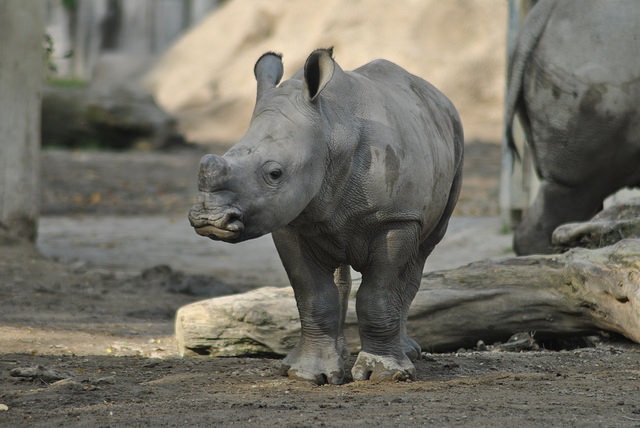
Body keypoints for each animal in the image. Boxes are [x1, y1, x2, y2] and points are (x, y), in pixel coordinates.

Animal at [188, 48, 463, 384]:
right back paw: (335, 355)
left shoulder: (396, 218)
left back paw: (408, 354)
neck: (331, 130)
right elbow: (313, 295)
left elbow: (379, 294)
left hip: (454, 139)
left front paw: (383, 374)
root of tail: (438, 97)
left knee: (421, 255)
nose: (210, 221)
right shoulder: (289, 221)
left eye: (275, 173)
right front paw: (308, 374)